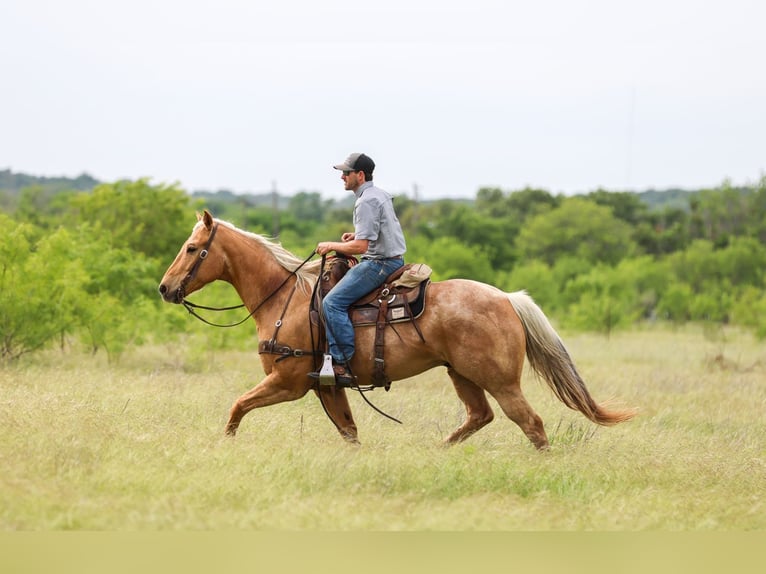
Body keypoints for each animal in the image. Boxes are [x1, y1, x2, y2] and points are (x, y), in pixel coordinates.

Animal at [158, 210, 635, 450]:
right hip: (462, 375)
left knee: (531, 424)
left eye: (192, 248)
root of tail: (506, 299)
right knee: (478, 416)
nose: (165, 287)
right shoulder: (326, 387)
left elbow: (237, 406)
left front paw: (225, 445)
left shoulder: (289, 382)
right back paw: (439, 452)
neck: (285, 298)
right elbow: (349, 432)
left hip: (499, 380)